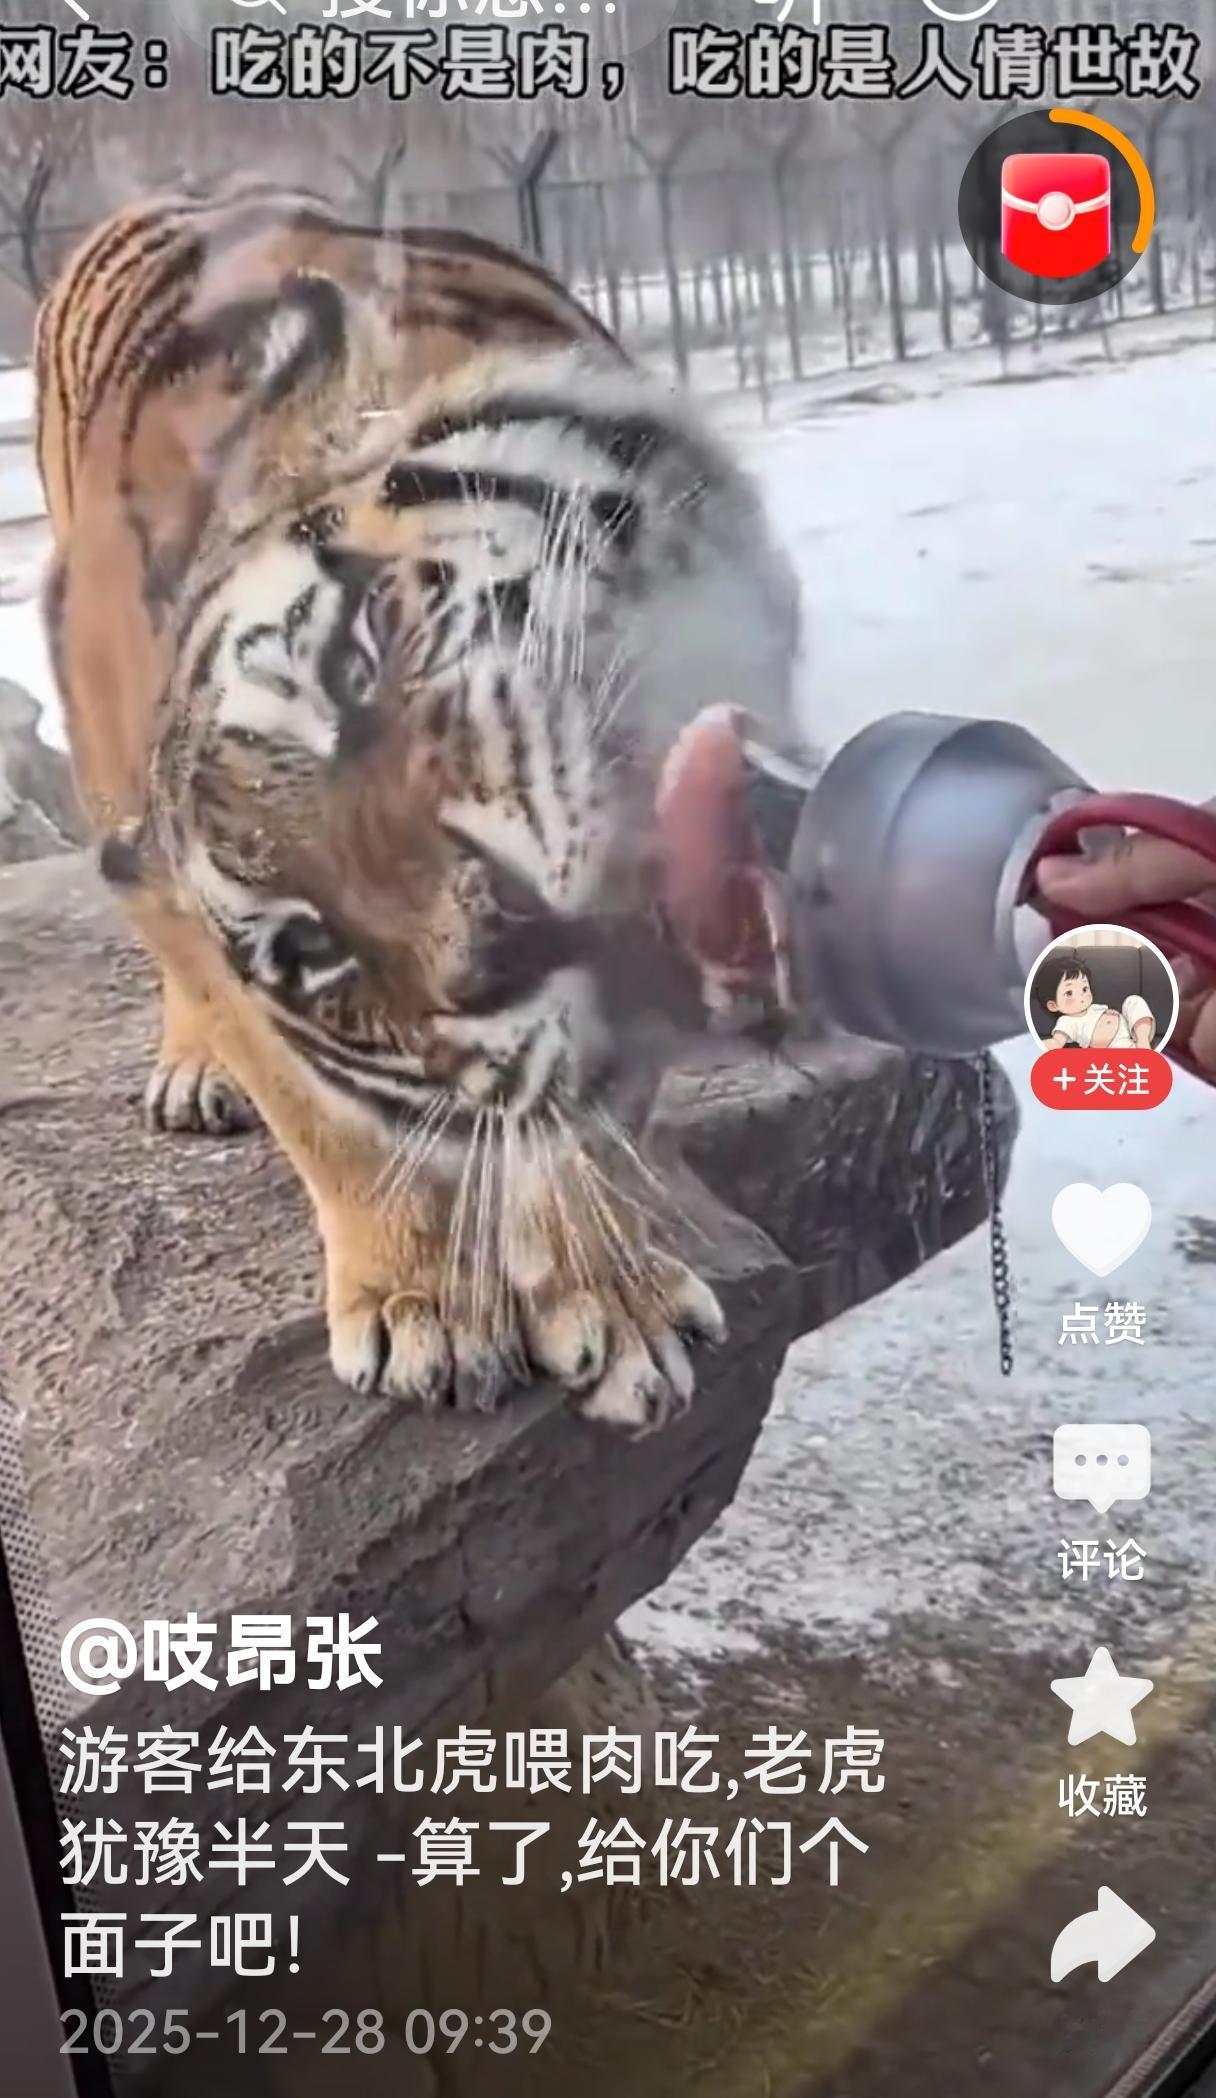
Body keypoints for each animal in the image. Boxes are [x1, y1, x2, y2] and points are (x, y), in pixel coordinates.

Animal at [34, 178, 802, 1433]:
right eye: (305, 940)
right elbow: (331, 1106)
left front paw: (610, 1291)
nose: (484, 954)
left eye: (360, 669)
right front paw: (421, 1304)